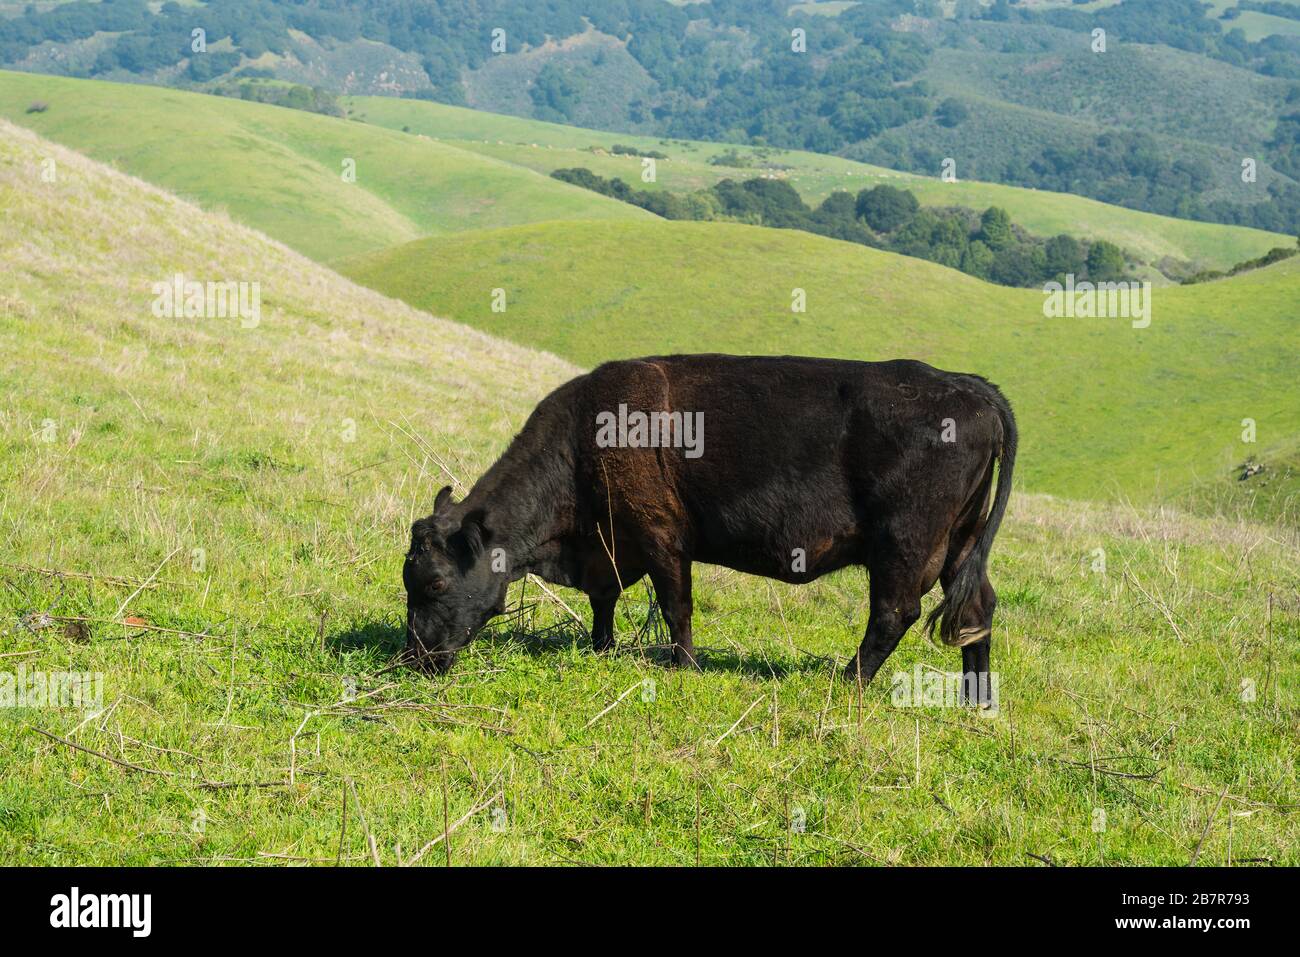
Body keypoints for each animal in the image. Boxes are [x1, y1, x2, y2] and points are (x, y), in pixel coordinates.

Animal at [403, 351, 1013, 696]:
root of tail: (972, 388)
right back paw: (976, 700)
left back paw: (847, 684)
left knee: (893, 613)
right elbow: (605, 599)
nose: (416, 658)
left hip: (904, 547)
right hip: (959, 543)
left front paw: (684, 667)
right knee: (975, 610)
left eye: (434, 583)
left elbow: (677, 605)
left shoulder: (662, 538)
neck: (585, 438)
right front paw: (602, 649)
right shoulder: (611, 544)